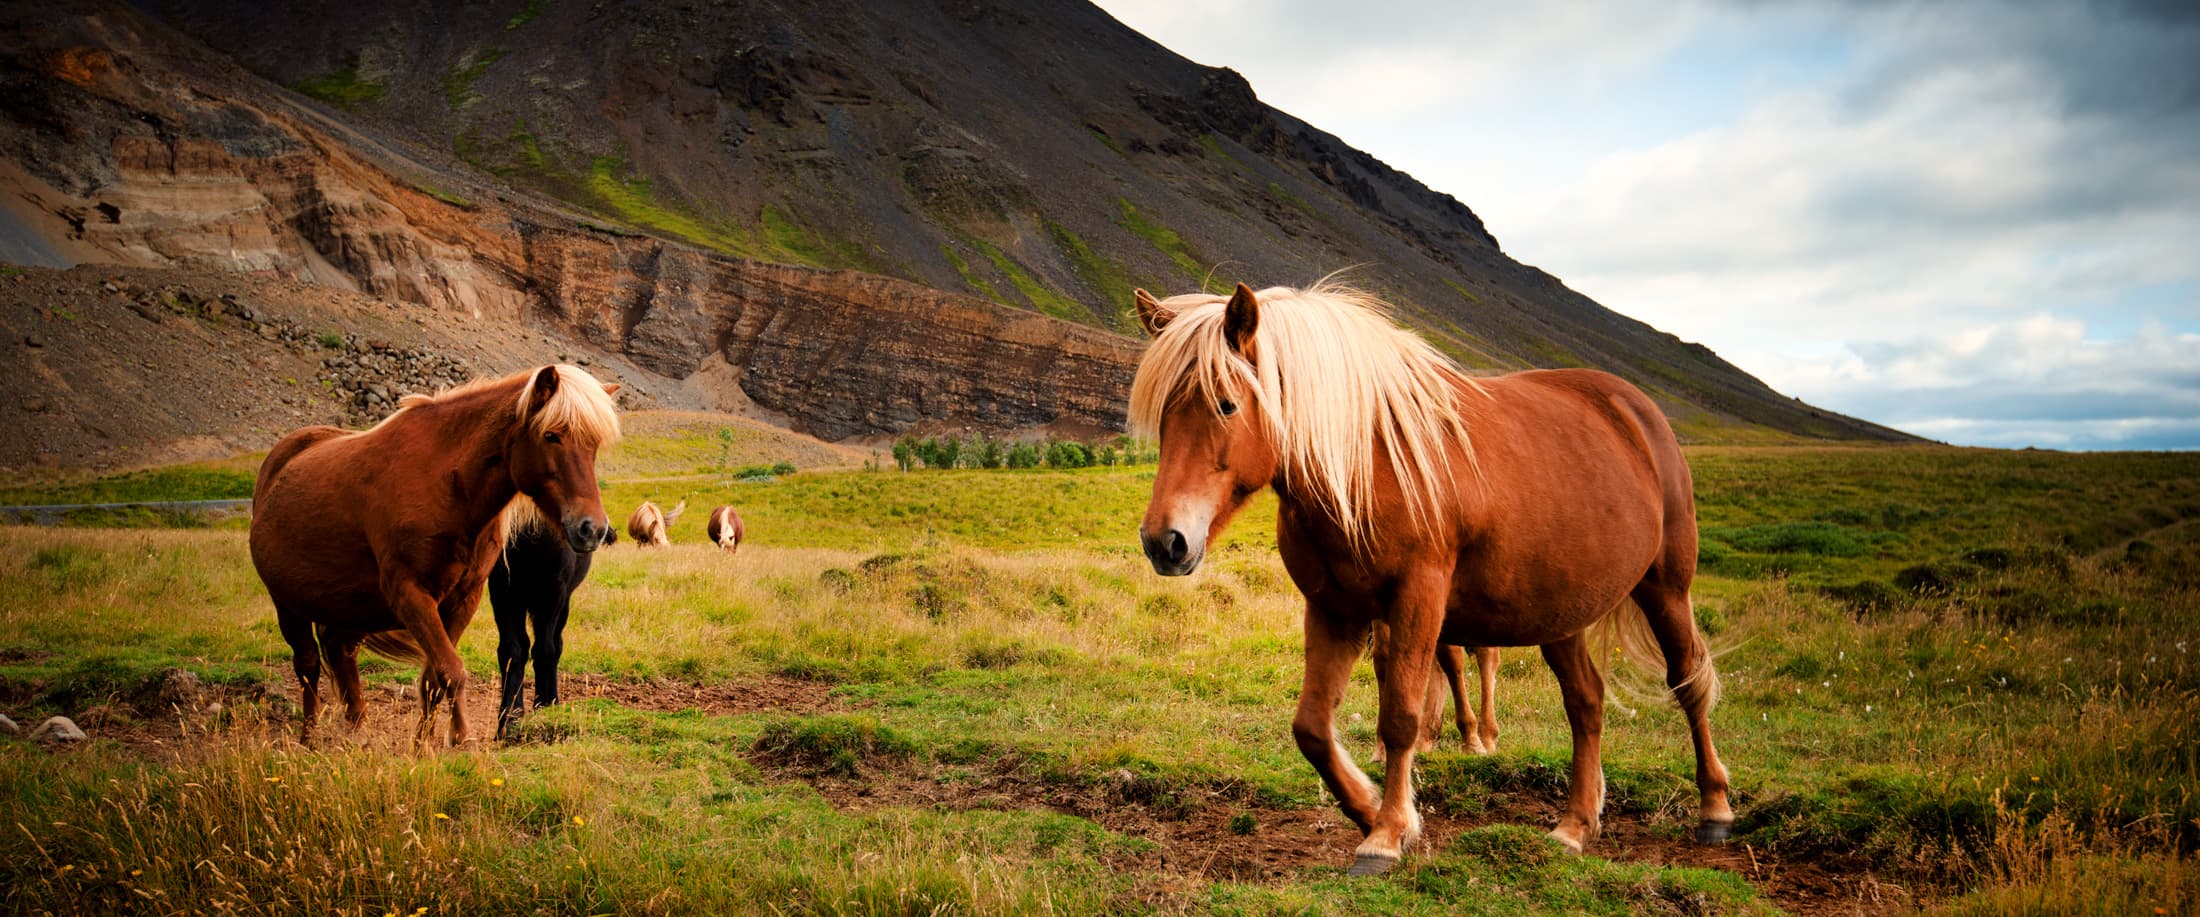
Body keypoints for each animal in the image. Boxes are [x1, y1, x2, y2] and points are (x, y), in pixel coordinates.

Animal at [488, 501, 614, 738]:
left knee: (555, 646)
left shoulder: (553, 595)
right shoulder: (503, 592)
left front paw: (543, 708)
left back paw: (551, 701)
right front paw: (509, 720)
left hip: (562, 605)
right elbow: (512, 652)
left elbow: (544, 651)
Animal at [1128, 282, 1729, 875]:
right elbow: (1312, 728)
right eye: (1164, 415)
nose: (1165, 541)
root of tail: (1639, 411)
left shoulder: (1418, 599)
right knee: (1586, 702)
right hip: (1560, 614)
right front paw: (1367, 806)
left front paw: (1387, 834)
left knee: (1687, 681)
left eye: (1227, 404)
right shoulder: (1334, 608)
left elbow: (1401, 717)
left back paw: (1715, 809)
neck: (1367, 462)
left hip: (1665, 590)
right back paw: (1575, 826)